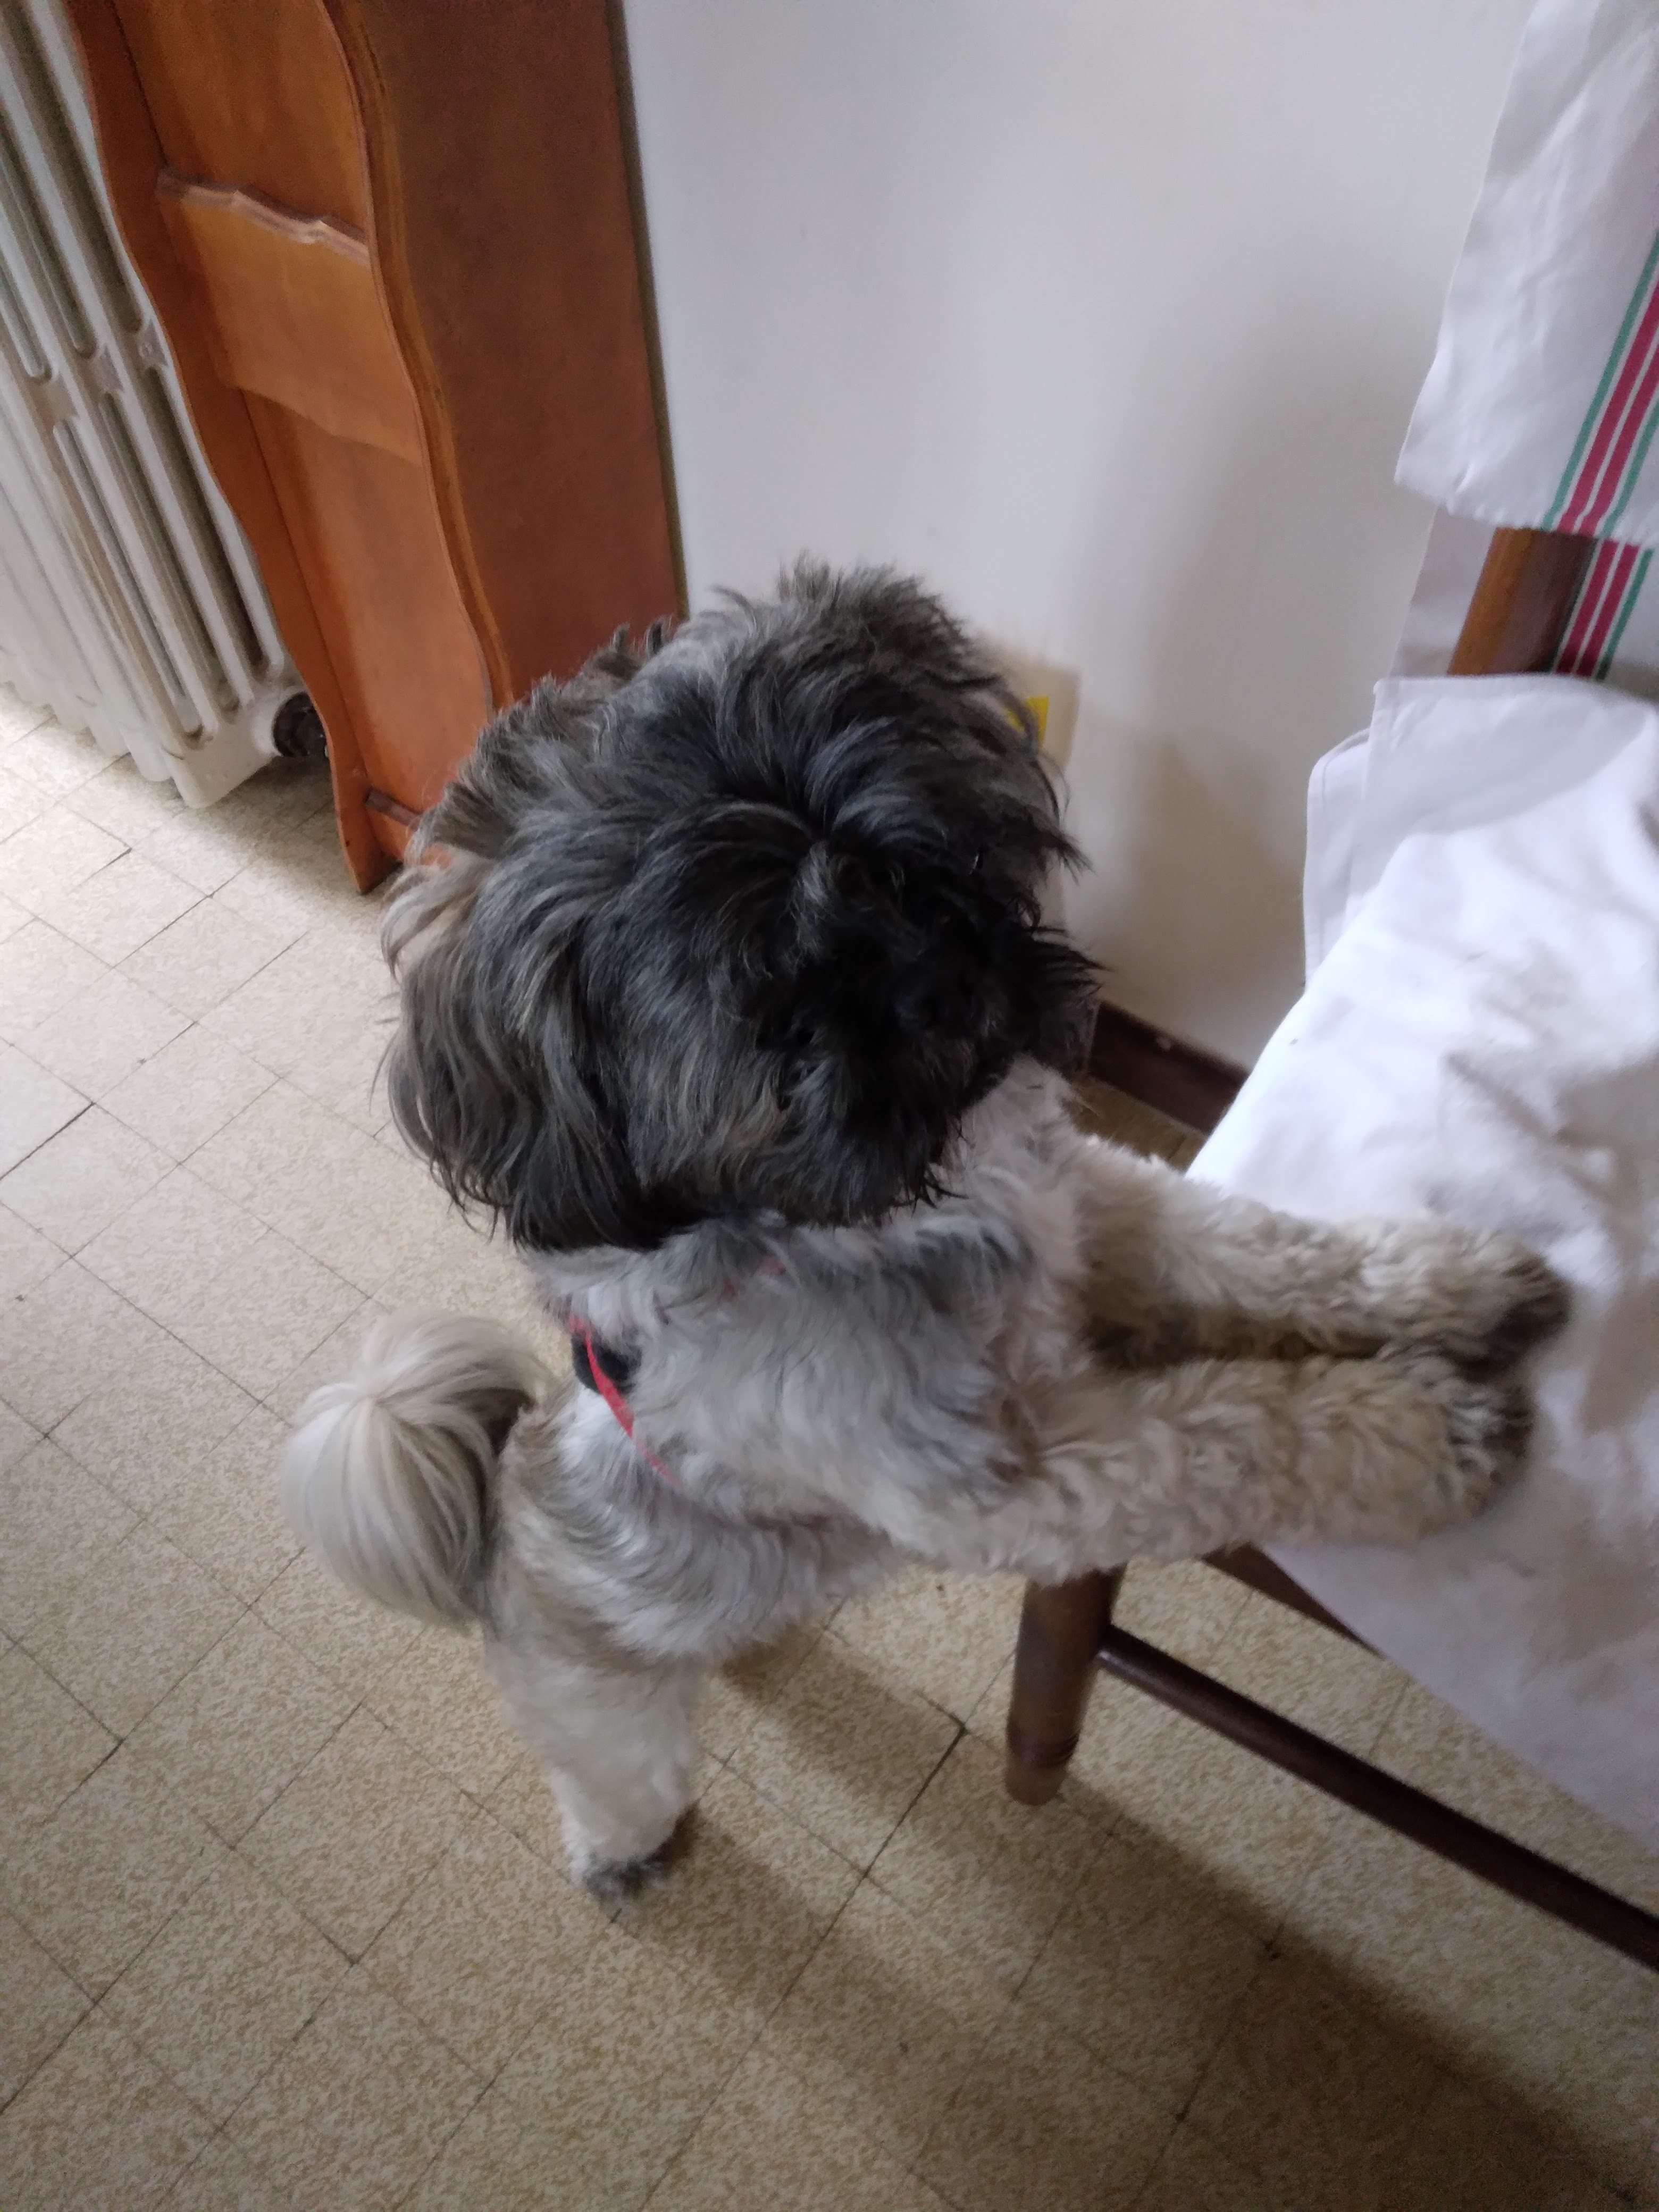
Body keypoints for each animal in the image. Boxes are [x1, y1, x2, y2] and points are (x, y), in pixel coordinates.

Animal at [282, 562, 1567, 1893]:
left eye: (915, 867)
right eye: (775, 1009)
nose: (938, 988)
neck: (893, 1215)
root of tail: (498, 1517)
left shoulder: (1093, 1214)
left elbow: (1264, 1249)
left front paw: (1451, 1283)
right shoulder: (1011, 1476)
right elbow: (1242, 1431)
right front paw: (1431, 1430)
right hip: (602, 1711)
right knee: (611, 1775)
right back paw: (623, 1850)